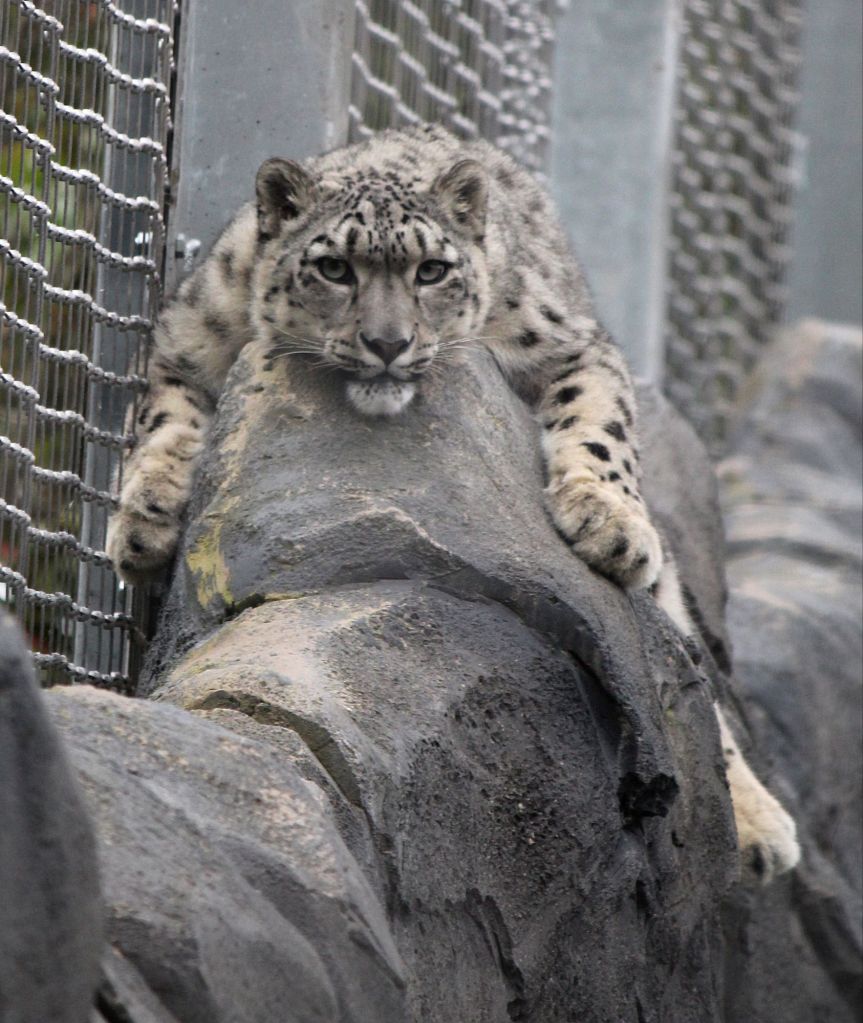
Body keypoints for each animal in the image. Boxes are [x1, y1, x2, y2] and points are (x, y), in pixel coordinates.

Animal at [106, 123, 800, 883]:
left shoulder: (571, 343)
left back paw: (759, 824)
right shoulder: (182, 342)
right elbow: (163, 422)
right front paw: (143, 521)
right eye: (334, 268)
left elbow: (600, 426)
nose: (387, 342)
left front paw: (606, 520)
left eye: (432, 270)